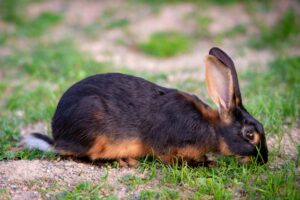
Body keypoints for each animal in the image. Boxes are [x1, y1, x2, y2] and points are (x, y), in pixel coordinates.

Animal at [21, 47, 270, 167]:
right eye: (250, 134)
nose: (264, 159)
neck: (212, 128)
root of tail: (57, 136)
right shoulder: (169, 148)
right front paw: (207, 163)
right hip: (93, 131)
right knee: (80, 156)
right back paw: (124, 161)